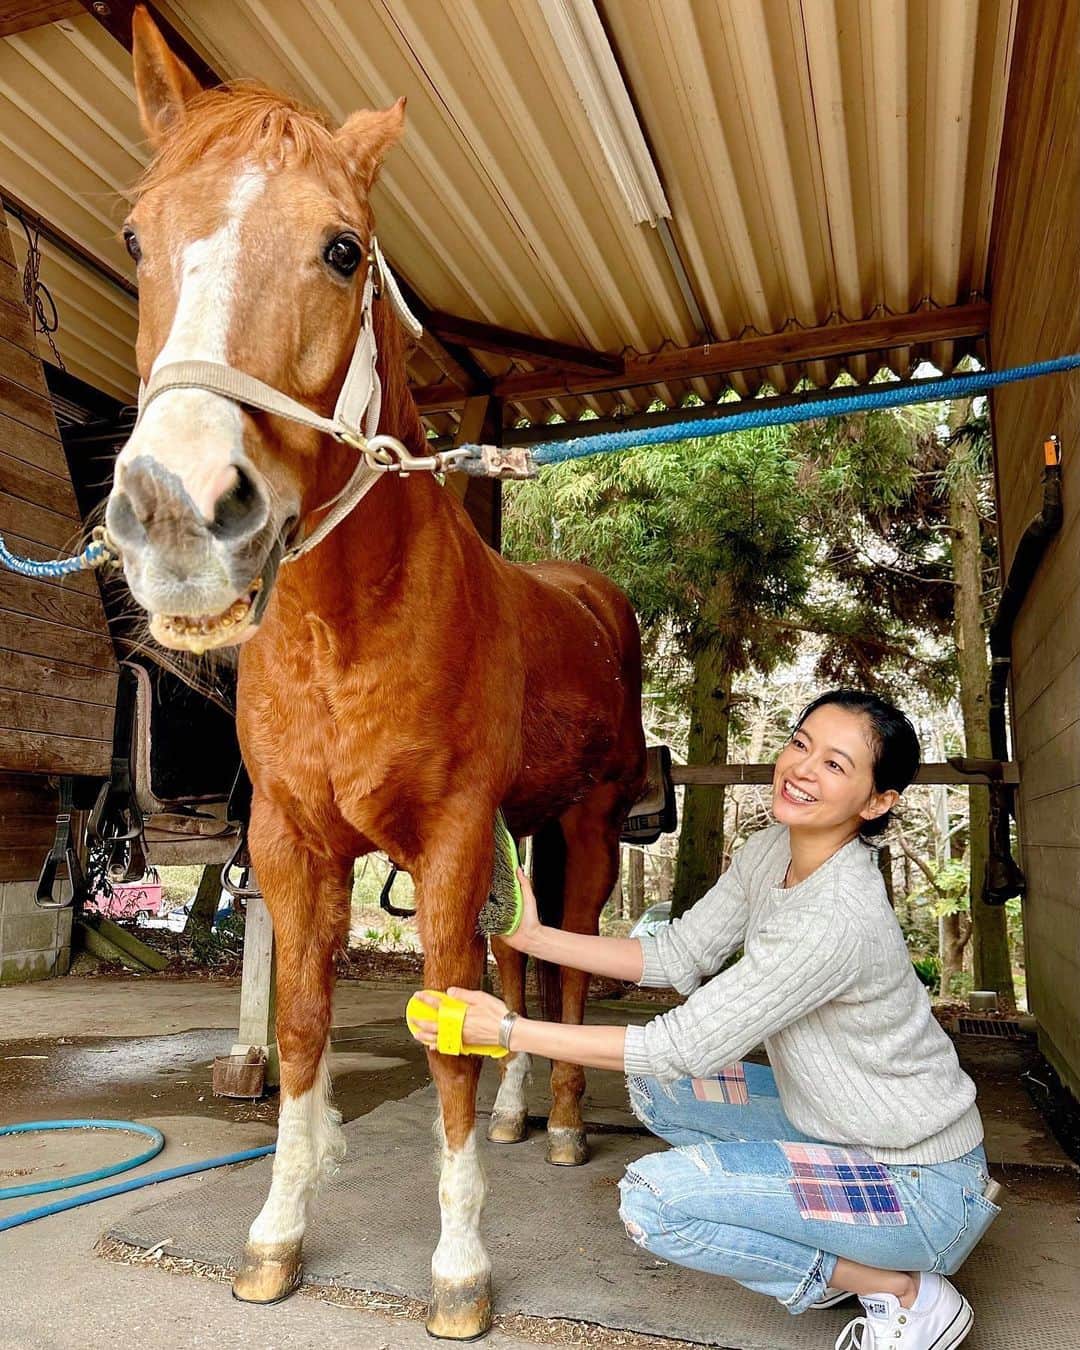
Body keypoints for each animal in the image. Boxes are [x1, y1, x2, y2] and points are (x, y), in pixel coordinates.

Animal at [104, 9, 647, 1339]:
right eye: (139, 236)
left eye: (342, 250)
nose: (176, 518)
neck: (347, 634)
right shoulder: (294, 842)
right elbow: (302, 1024)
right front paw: (275, 1235)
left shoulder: (448, 837)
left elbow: (449, 1024)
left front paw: (459, 1269)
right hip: (528, 826)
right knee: (530, 959)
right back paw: (516, 1119)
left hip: (586, 824)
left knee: (565, 971)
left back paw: (561, 1130)